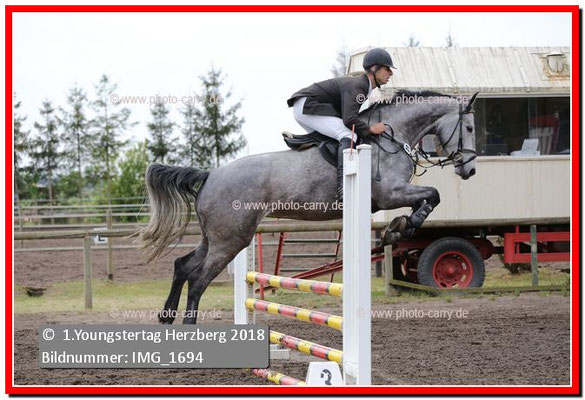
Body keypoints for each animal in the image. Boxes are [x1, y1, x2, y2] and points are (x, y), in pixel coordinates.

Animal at [138, 90, 479, 324]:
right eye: (471, 129)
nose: (470, 170)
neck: (390, 138)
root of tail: (210, 174)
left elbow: (429, 197)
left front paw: (397, 229)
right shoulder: (390, 194)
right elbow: (433, 195)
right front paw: (400, 228)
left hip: (215, 237)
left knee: (182, 266)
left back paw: (167, 319)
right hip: (231, 240)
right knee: (197, 279)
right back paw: (188, 326)